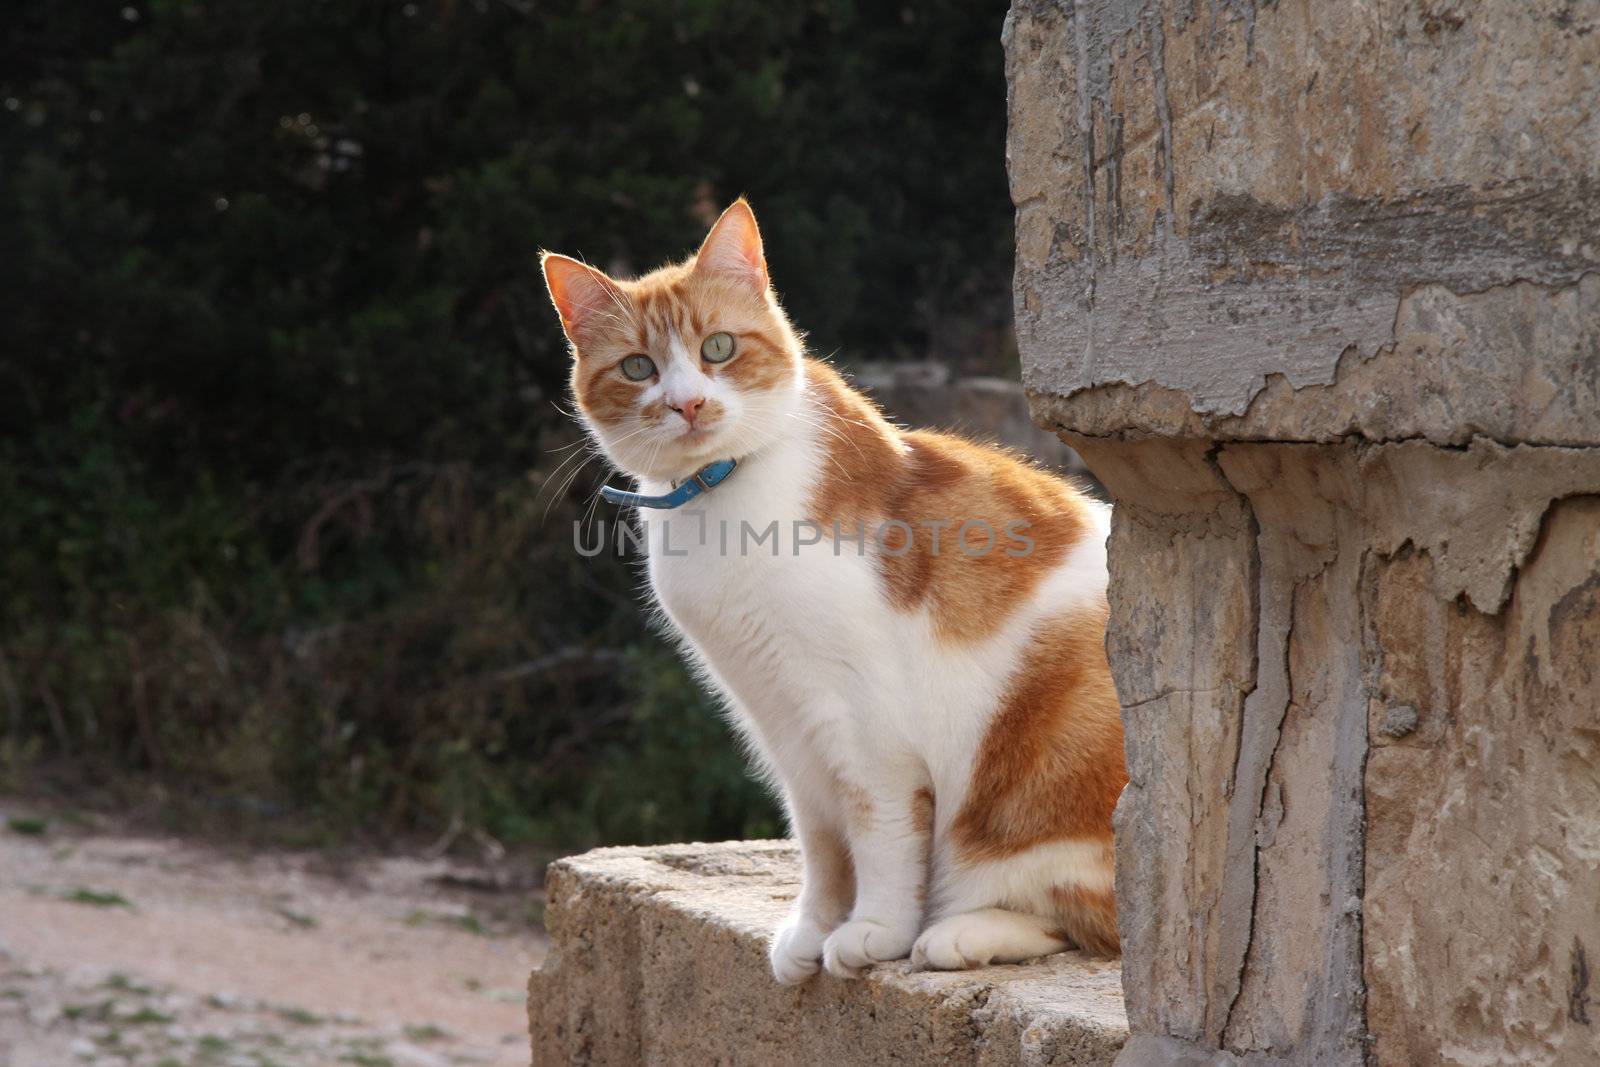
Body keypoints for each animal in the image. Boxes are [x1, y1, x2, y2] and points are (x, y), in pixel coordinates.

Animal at [544, 199, 1132, 985]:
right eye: (639, 367)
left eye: (718, 348)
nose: (688, 404)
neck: (721, 494)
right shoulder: (784, 722)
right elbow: (821, 839)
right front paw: (813, 927)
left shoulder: (865, 725)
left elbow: (879, 829)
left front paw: (872, 929)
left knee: (1095, 924)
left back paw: (958, 933)